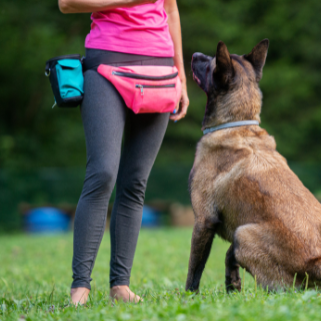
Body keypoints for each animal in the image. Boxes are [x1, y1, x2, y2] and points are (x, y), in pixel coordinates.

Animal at [185, 38, 321, 292]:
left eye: (210, 63)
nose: (195, 53)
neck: (236, 123)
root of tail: (316, 263)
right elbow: (229, 257)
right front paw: (233, 286)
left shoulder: (203, 220)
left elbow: (194, 269)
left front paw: (188, 297)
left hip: (244, 233)